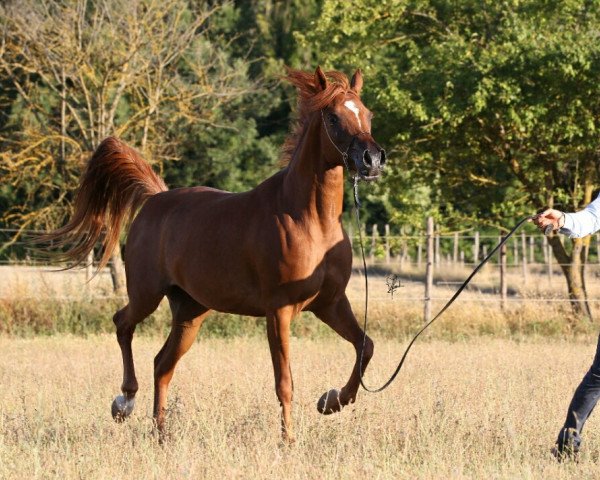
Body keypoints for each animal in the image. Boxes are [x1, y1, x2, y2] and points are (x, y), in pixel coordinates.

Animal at [44, 67, 386, 442]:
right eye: (334, 117)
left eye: (368, 114)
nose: (372, 160)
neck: (308, 220)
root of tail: (155, 198)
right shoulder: (279, 312)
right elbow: (285, 382)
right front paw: (288, 440)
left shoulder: (330, 303)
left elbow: (365, 346)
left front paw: (331, 401)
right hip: (146, 294)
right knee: (123, 324)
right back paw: (125, 402)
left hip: (190, 312)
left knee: (162, 365)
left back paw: (161, 434)